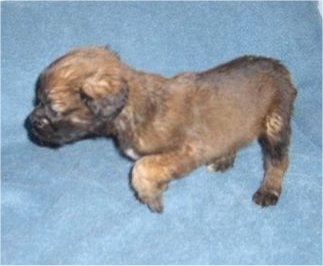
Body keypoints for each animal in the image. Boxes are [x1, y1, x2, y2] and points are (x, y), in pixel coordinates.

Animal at [26, 47, 298, 212]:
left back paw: (268, 190)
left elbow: (142, 167)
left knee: (278, 161)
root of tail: (280, 66)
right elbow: (152, 166)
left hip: (275, 123)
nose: (29, 123)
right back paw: (223, 160)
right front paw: (159, 187)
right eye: (37, 101)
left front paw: (150, 196)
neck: (132, 106)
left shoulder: (188, 149)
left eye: (52, 108)